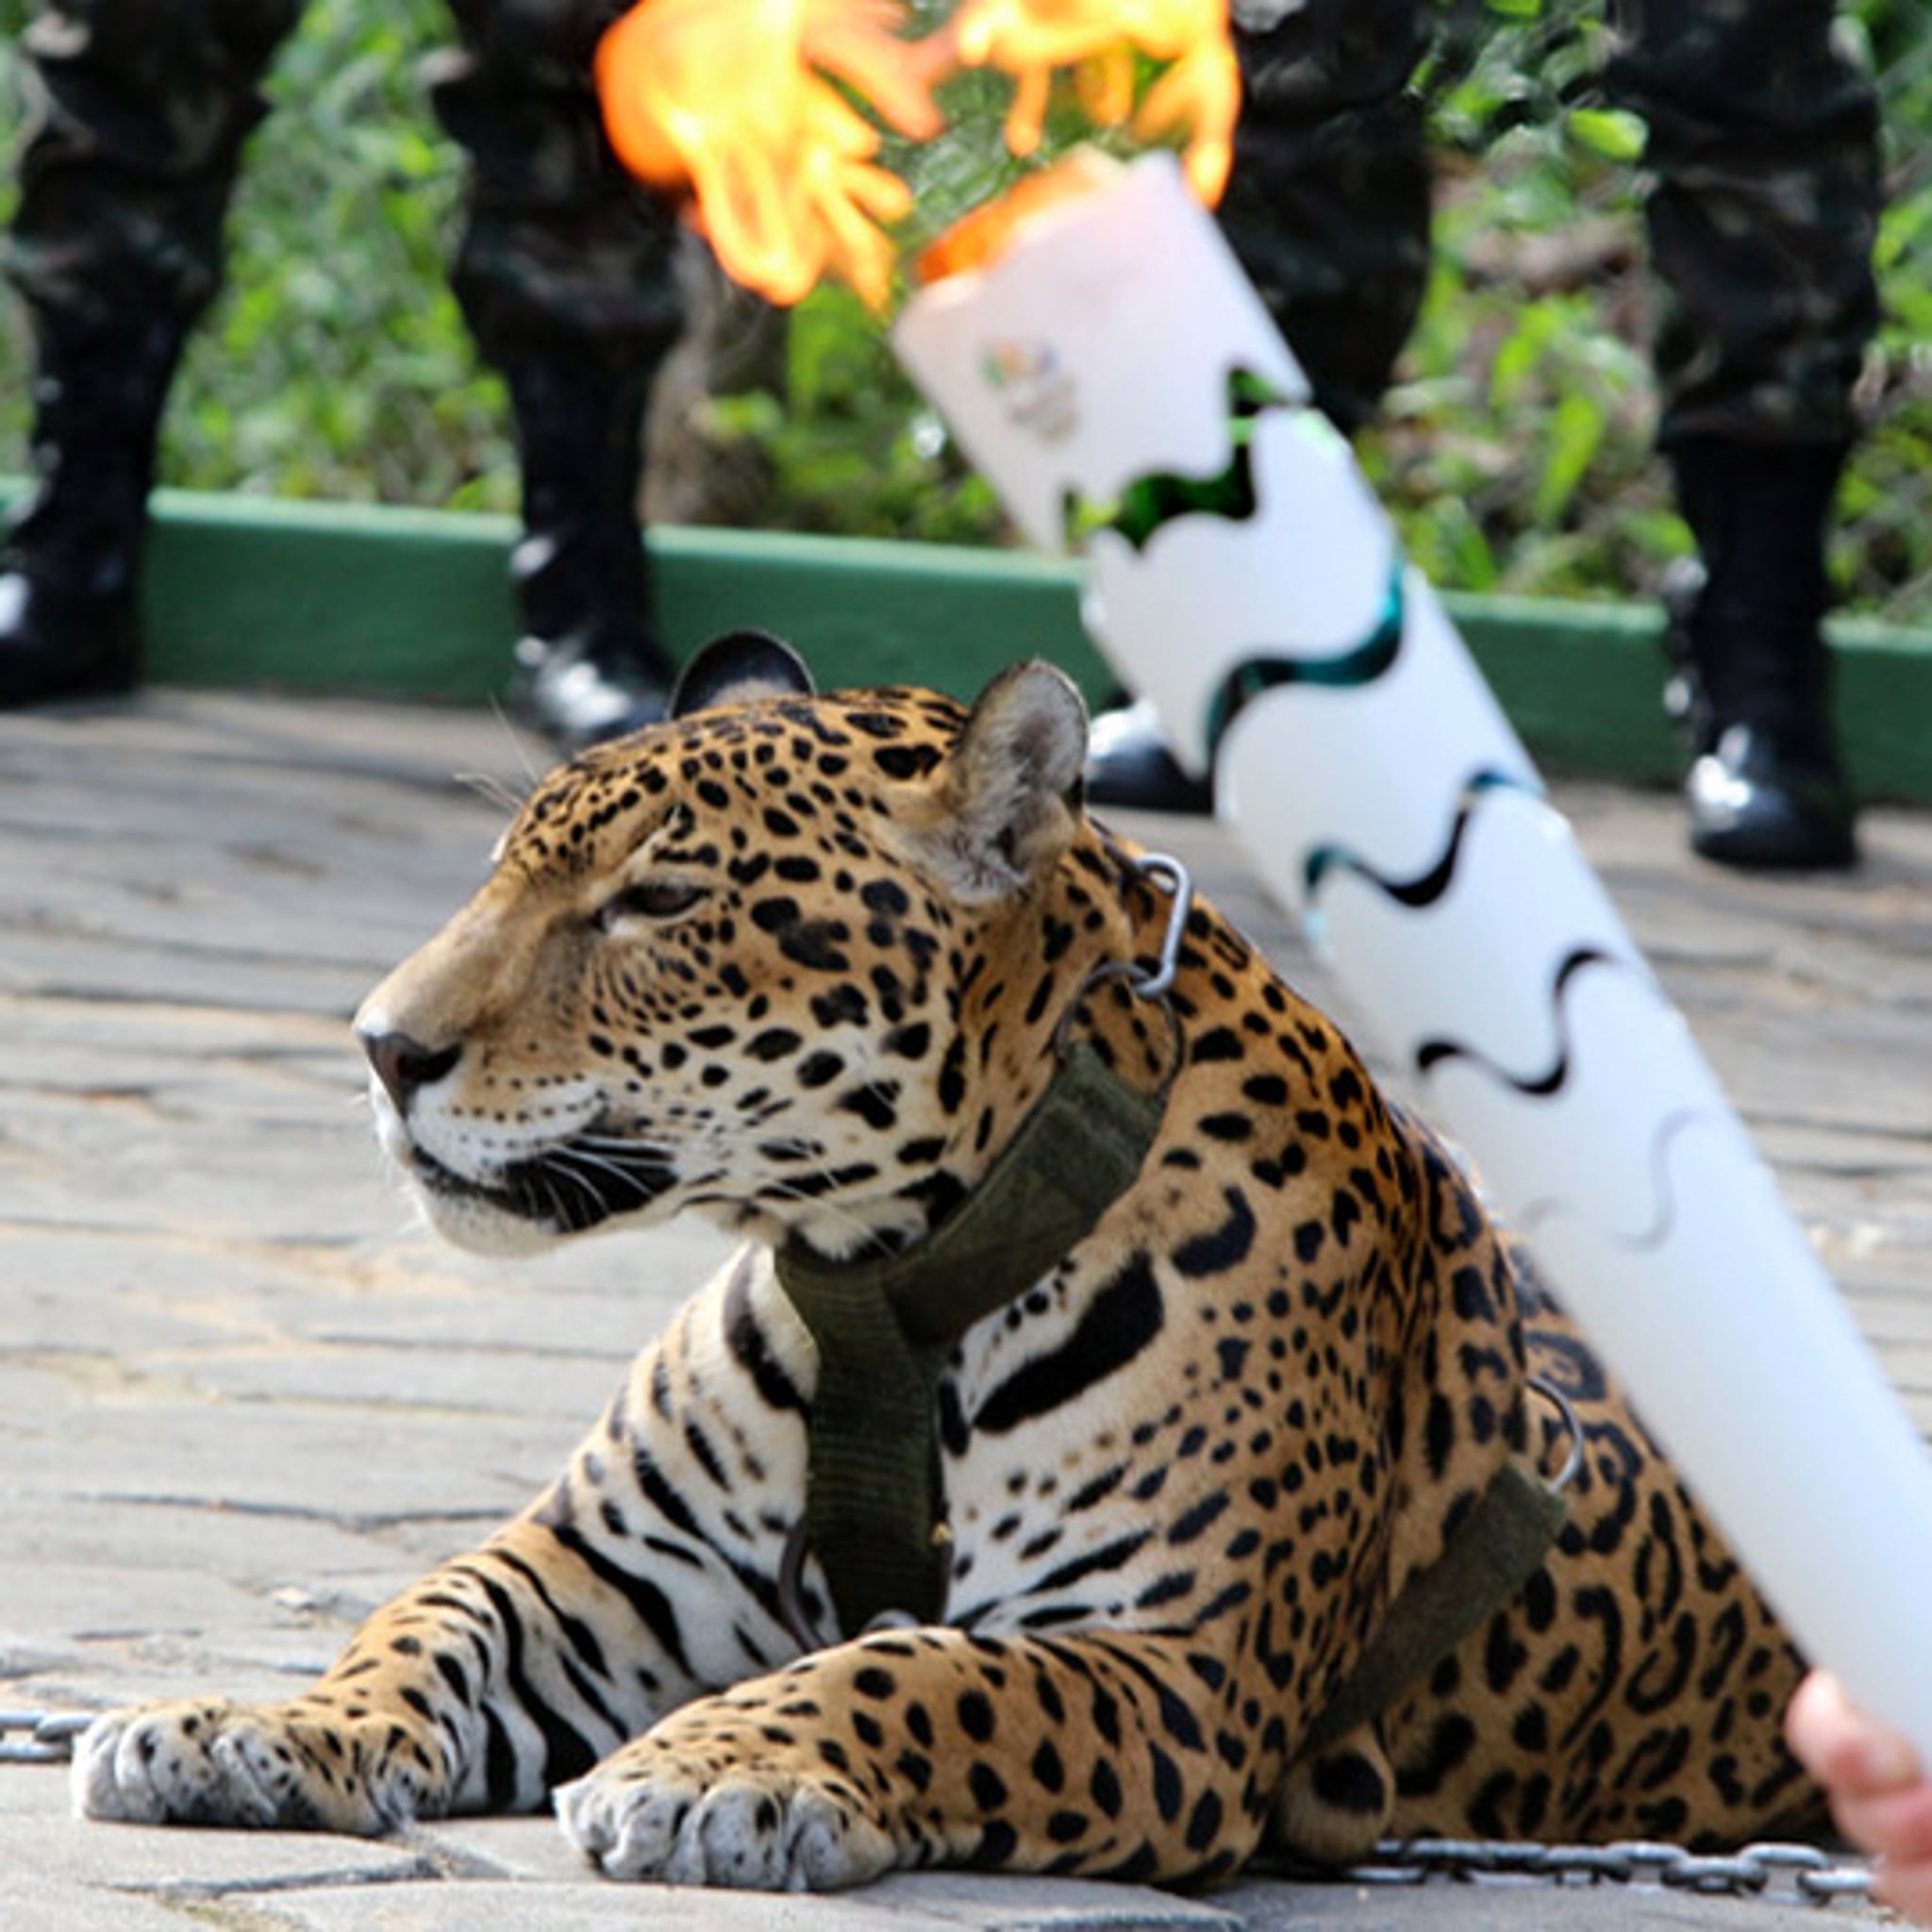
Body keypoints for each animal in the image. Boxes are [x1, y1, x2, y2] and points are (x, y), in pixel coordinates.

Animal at [75, 631, 1824, 1891]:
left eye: (657, 900)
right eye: (504, 868)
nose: (382, 1047)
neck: (883, 1275)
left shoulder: (1178, 1669)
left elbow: (918, 1666)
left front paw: (710, 1768)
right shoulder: (608, 1570)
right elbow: (424, 1616)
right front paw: (255, 1724)